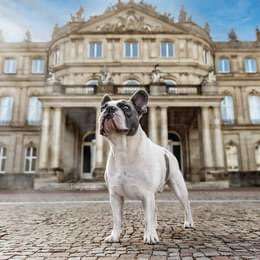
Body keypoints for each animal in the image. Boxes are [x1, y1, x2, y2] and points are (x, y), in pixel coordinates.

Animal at [99, 89, 193, 244]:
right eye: (102, 107)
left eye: (125, 107)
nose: (109, 109)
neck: (122, 148)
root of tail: (167, 151)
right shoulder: (115, 196)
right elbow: (117, 219)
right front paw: (115, 236)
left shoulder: (147, 194)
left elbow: (147, 217)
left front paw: (150, 236)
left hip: (178, 187)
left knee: (186, 204)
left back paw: (189, 222)